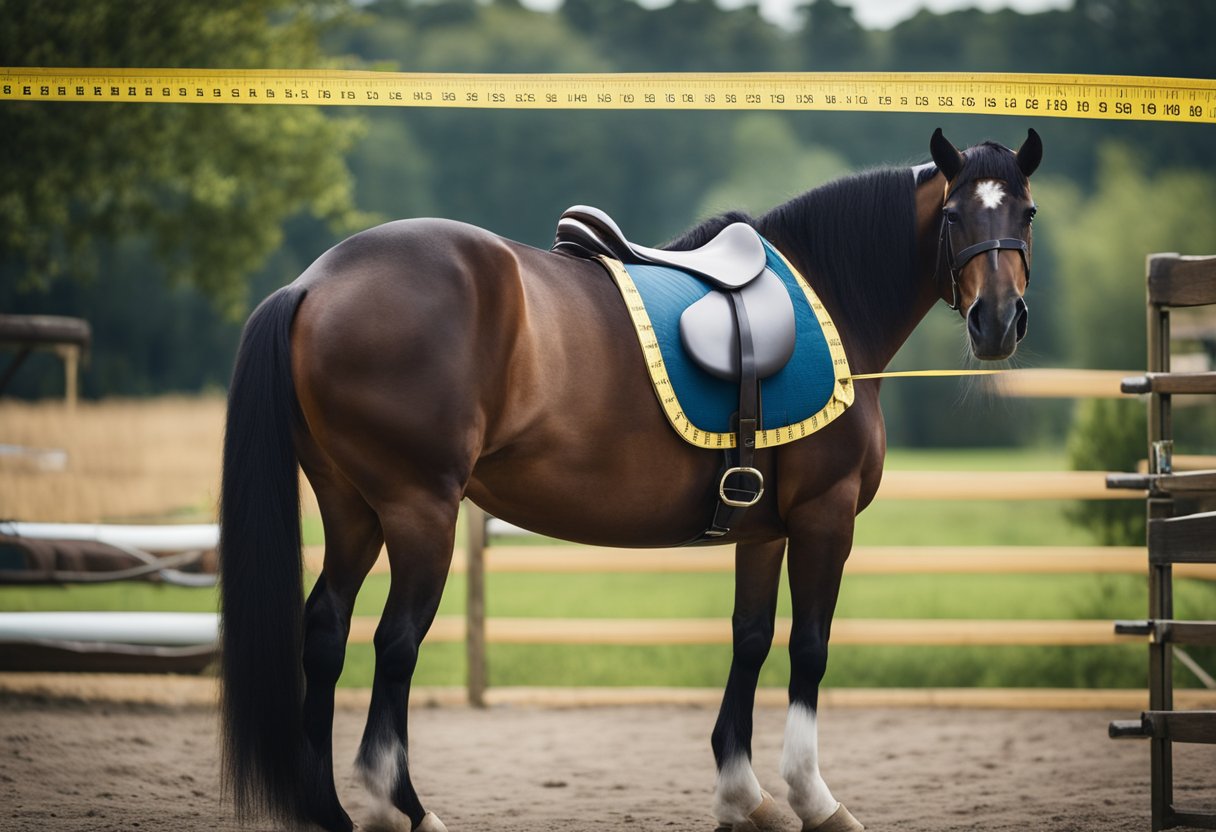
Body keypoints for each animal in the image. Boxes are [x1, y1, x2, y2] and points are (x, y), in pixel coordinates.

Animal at [218, 126, 1042, 832]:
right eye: (954, 213)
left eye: (1026, 212)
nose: (999, 322)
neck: (832, 295)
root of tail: (314, 282)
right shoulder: (823, 516)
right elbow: (809, 646)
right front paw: (813, 798)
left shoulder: (764, 529)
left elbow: (750, 639)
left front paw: (745, 796)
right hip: (419, 512)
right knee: (395, 642)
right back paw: (404, 809)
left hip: (352, 508)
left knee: (326, 632)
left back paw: (328, 810)